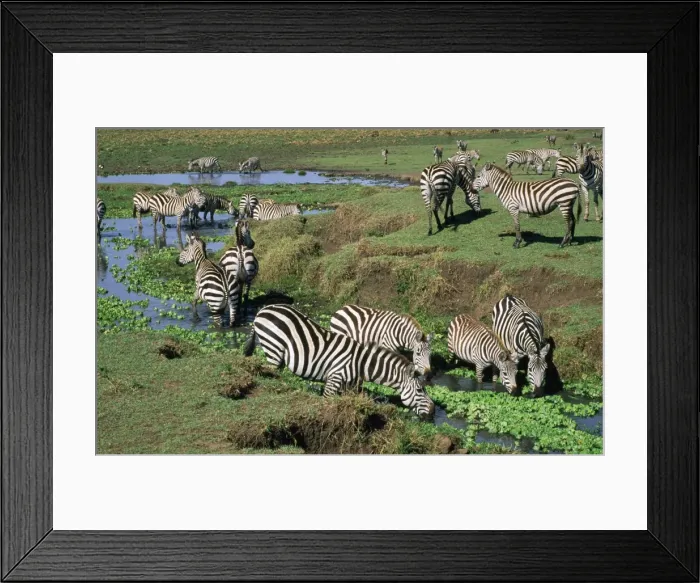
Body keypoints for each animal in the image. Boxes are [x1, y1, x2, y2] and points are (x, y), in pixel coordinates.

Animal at [243, 304, 435, 419]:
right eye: (420, 390)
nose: (433, 411)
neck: (361, 364)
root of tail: (264, 309)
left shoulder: (349, 386)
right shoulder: (334, 378)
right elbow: (326, 403)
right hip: (273, 349)